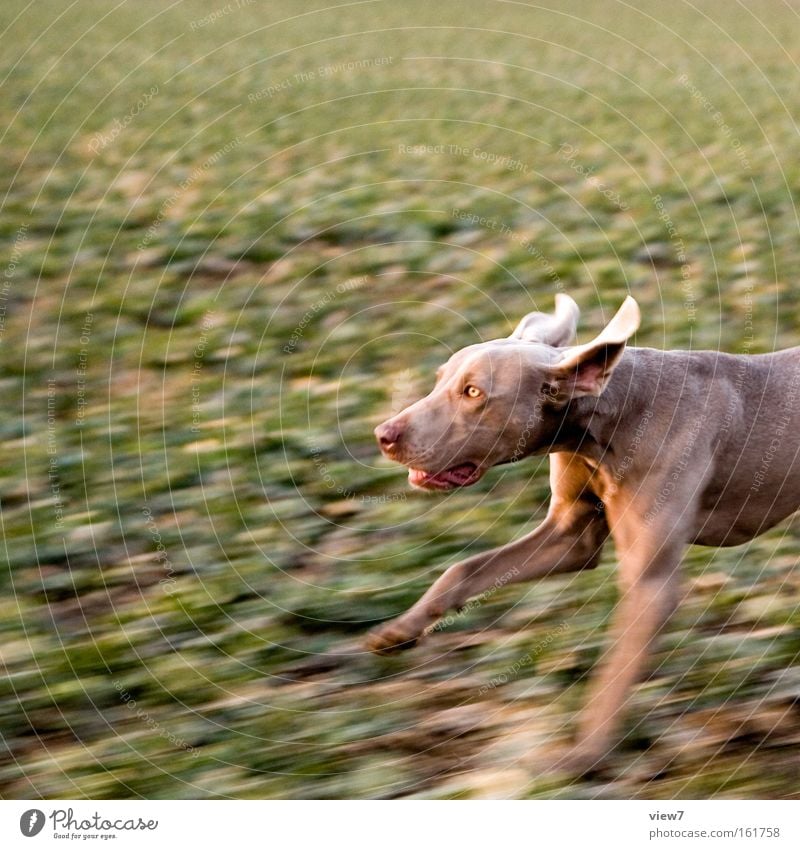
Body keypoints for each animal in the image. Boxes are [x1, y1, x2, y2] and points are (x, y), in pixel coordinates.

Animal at [368, 294, 800, 772]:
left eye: (473, 393)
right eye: (440, 379)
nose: (383, 435)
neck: (607, 424)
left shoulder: (650, 581)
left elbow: (615, 669)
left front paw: (585, 753)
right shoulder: (570, 537)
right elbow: (462, 569)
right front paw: (400, 631)